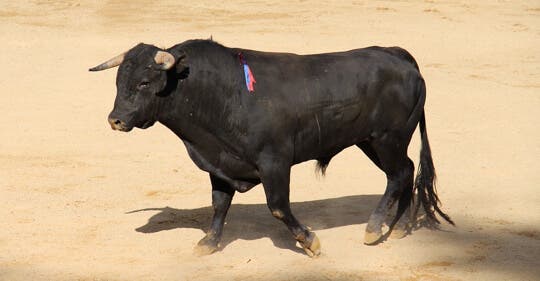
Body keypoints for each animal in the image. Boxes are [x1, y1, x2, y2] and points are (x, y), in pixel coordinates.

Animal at [90, 38, 454, 256]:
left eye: (144, 82)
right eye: (119, 81)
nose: (115, 120)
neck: (225, 95)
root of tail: (398, 55)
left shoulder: (274, 162)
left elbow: (278, 206)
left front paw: (310, 241)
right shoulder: (221, 163)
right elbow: (219, 204)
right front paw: (208, 243)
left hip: (388, 138)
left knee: (399, 175)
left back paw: (374, 228)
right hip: (371, 142)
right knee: (405, 171)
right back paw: (399, 227)